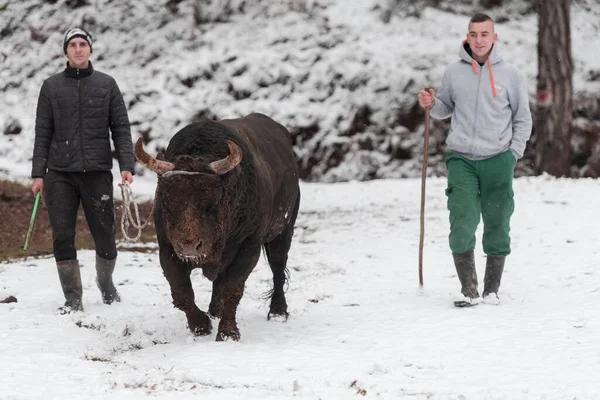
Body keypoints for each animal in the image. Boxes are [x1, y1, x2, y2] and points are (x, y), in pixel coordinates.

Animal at [133, 111, 298, 340]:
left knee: (278, 267)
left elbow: (233, 288)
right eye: (165, 200)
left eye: (213, 200)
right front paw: (201, 325)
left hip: (283, 231)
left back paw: (278, 311)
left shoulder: (248, 247)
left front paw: (228, 332)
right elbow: (182, 293)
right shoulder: (167, 249)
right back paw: (214, 310)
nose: (190, 246)